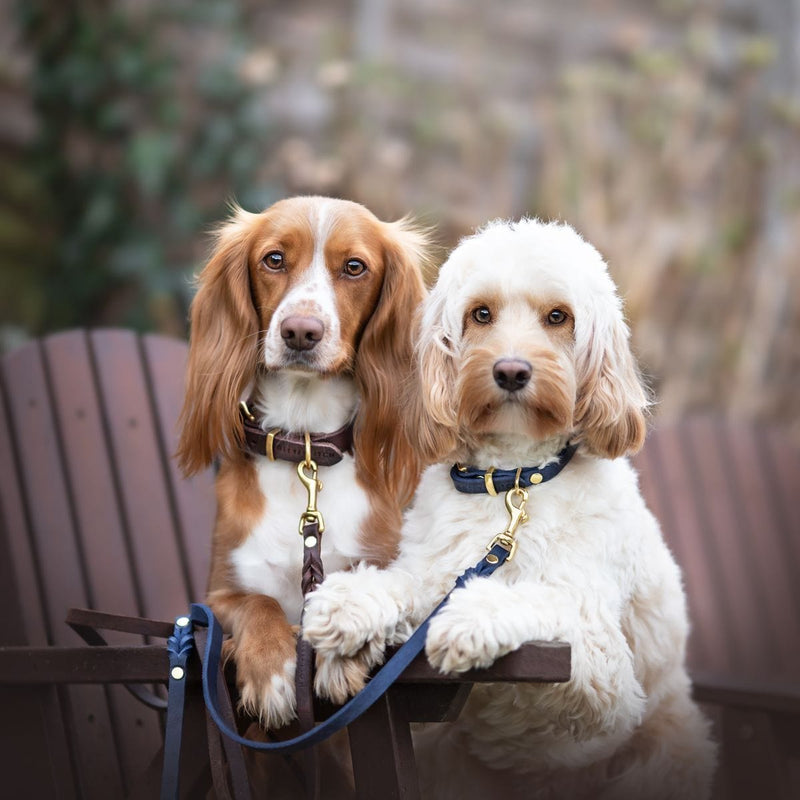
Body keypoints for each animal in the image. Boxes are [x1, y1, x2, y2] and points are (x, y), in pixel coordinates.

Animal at [304, 219, 716, 800]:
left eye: (558, 317)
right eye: (481, 314)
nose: (512, 371)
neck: (511, 483)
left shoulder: (603, 670)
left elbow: (542, 599)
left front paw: (471, 619)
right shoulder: (434, 572)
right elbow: (404, 585)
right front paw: (349, 604)